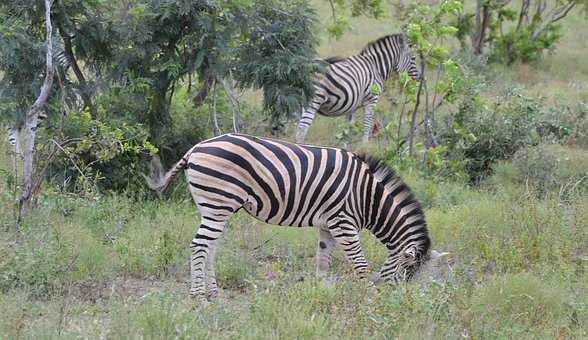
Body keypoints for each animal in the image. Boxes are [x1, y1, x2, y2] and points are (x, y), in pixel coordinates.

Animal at [144, 133, 446, 300]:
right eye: (406, 273)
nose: (395, 301)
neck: (366, 197)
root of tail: (195, 149)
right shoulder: (343, 222)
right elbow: (360, 264)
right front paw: (365, 296)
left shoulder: (327, 225)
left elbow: (322, 262)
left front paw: (321, 293)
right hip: (218, 203)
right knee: (199, 246)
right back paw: (198, 295)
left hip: (214, 208)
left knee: (209, 247)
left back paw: (213, 291)